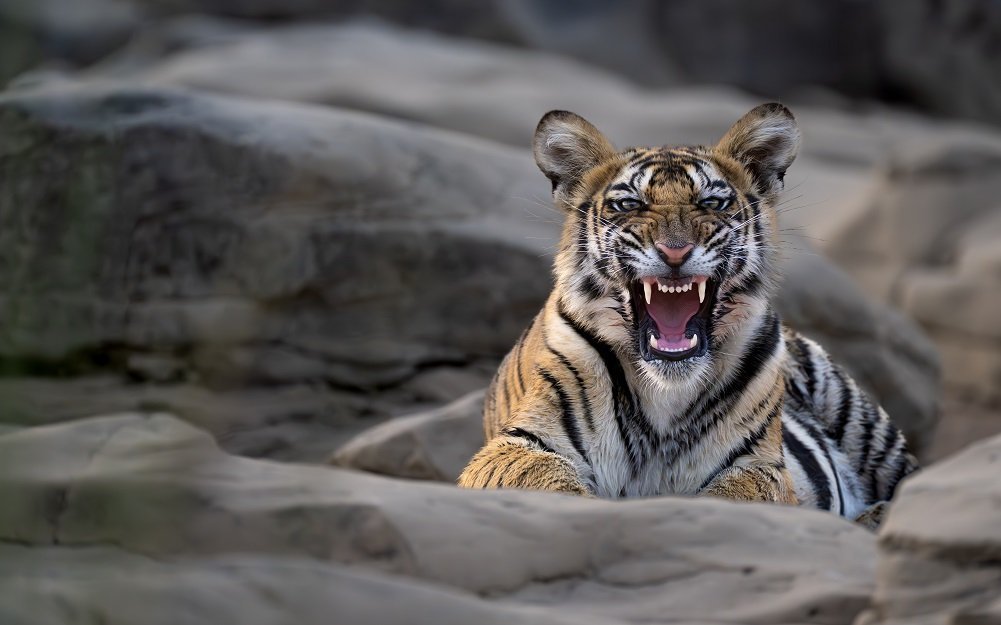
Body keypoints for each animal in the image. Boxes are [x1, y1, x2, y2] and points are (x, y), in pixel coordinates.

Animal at [457, 103, 918, 528]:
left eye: (711, 202)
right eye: (629, 204)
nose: (675, 251)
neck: (664, 391)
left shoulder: (757, 464)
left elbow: (735, 499)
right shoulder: (521, 443)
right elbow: (545, 480)